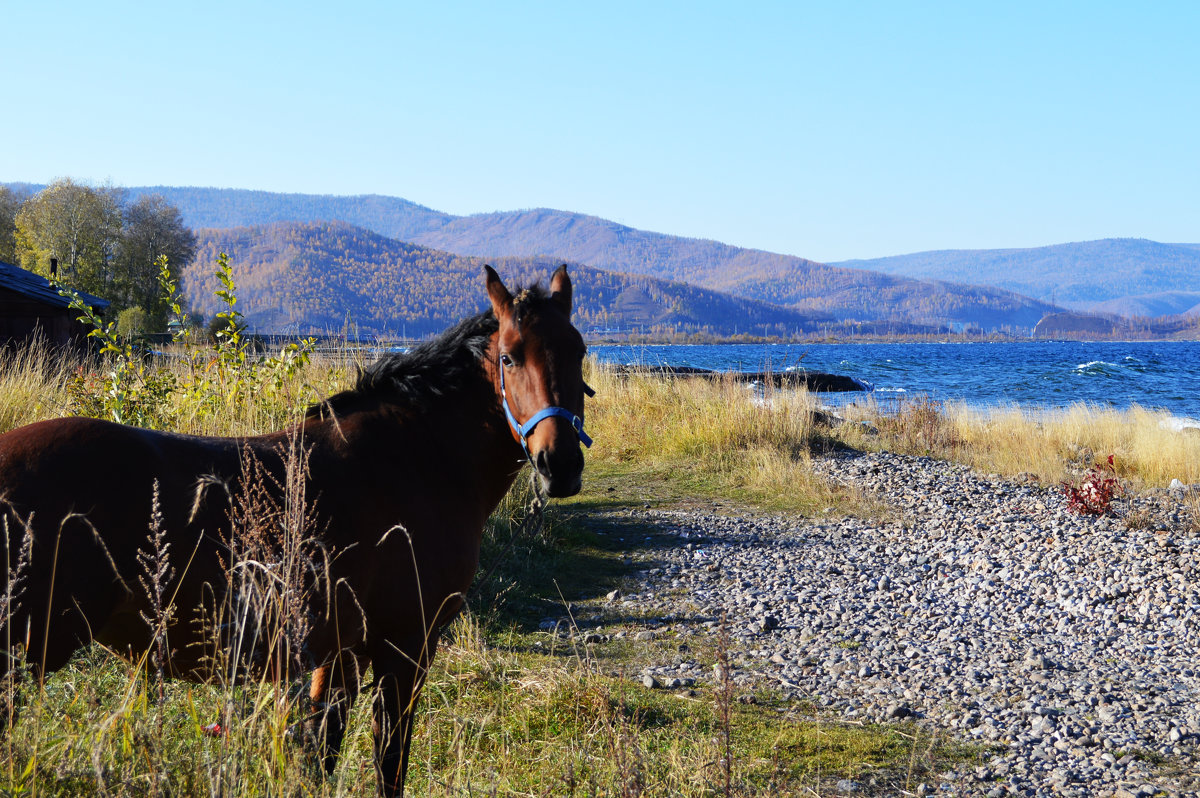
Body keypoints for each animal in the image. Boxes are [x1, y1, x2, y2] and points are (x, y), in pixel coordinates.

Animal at [0, 266, 590, 792]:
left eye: (579, 351)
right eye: (509, 356)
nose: (558, 464)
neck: (413, 457)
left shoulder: (339, 655)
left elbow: (324, 752)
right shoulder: (403, 649)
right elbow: (387, 762)